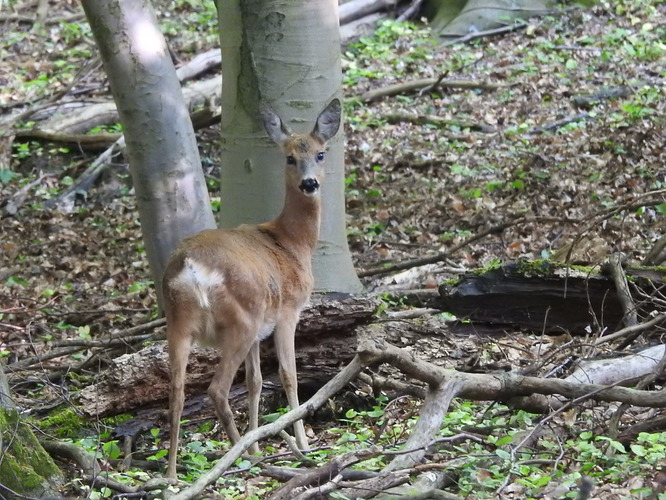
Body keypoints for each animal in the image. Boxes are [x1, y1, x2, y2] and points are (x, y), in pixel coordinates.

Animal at [162, 96, 342, 476]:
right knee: (216, 390)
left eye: (320, 153)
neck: (292, 243)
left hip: (178, 321)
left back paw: (171, 474)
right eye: (289, 157)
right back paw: (243, 457)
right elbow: (288, 375)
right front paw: (302, 444)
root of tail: (190, 266)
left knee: (177, 392)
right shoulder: (288, 311)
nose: (309, 184)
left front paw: (258, 440)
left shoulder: (262, 329)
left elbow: (255, 382)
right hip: (240, 319)